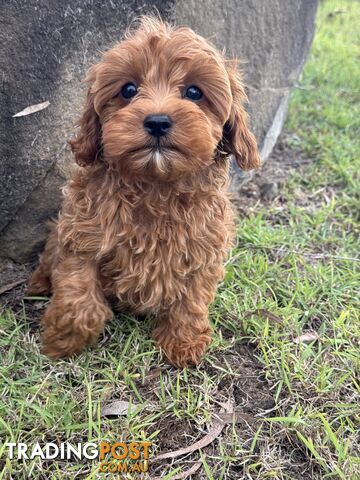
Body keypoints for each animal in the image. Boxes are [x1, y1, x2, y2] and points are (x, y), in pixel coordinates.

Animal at [27, 15, 258, 368]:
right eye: (128, 90)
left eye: (194, 92)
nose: (158, 121)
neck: (155, 184)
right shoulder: (81, 235)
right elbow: (79, 297)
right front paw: (61, 341)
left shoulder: (205, 249)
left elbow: (193, 298)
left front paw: (183, 343)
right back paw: (39, 283)